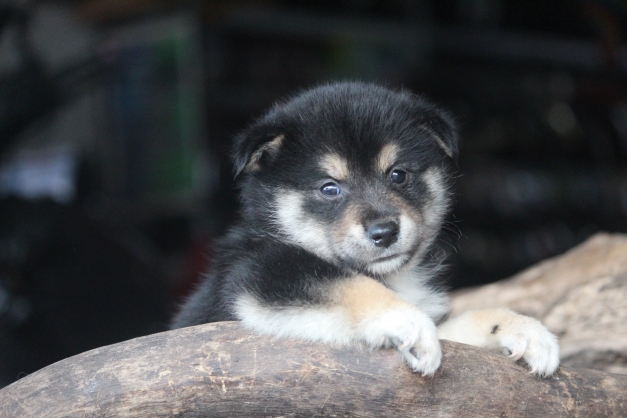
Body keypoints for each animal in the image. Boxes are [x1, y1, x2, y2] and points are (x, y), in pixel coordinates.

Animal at [171, 82, 559, 377]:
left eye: (398, 174)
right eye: (329, 188)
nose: (384, 232)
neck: (392, 278)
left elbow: (461, 325)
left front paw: (522, 329)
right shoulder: (258, 277)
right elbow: (347, 284)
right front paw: (407, 322)